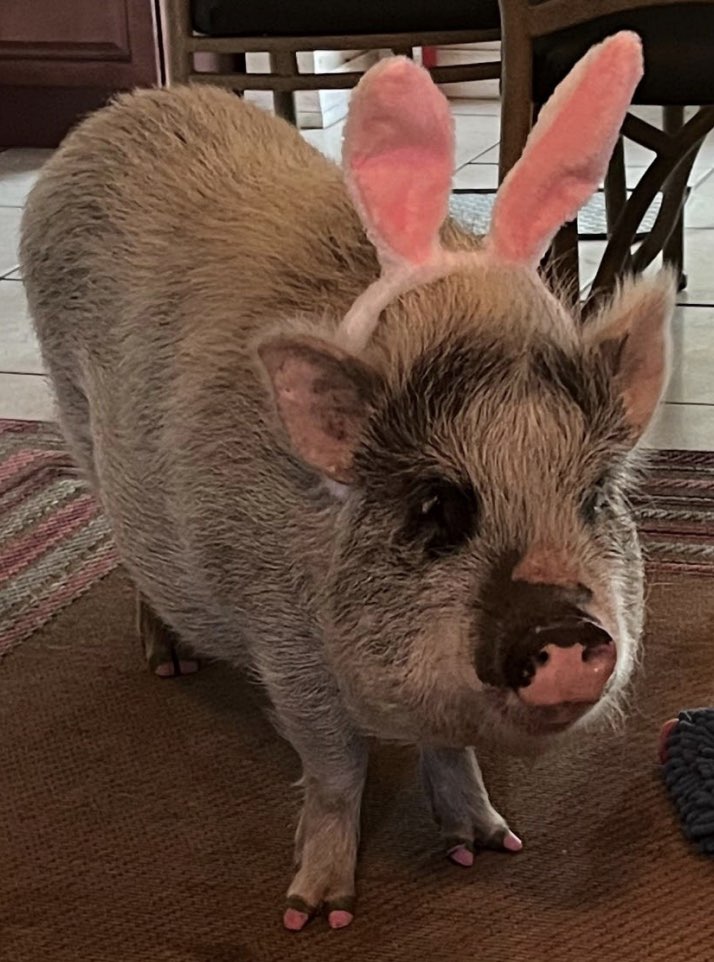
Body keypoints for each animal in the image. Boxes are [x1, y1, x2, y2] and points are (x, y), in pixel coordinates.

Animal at [19, 33, 672, 928]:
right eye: (437, 506)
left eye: (595, 497)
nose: (566, 631)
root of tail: (117, 112)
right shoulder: (282, 643)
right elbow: (337, 768)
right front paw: (315, 912)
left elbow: (448, 744)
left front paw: (489, 846)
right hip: (75, 414)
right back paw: (170, 663)